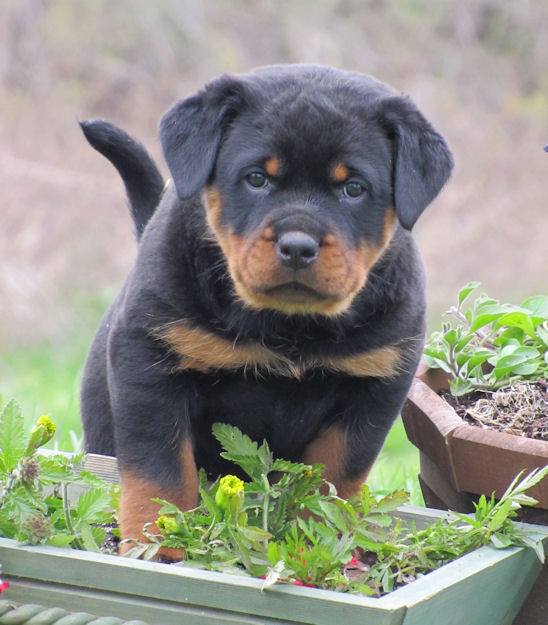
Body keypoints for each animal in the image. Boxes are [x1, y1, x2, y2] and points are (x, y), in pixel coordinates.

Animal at [79, 63, 452, 552]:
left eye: (353, 188)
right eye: (257, 178)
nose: (297, 246)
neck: (287, 326)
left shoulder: (374, 385)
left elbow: (334, 477)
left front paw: (319, 538)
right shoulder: (149, 362)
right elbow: (158, 472)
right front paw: (157, 542)